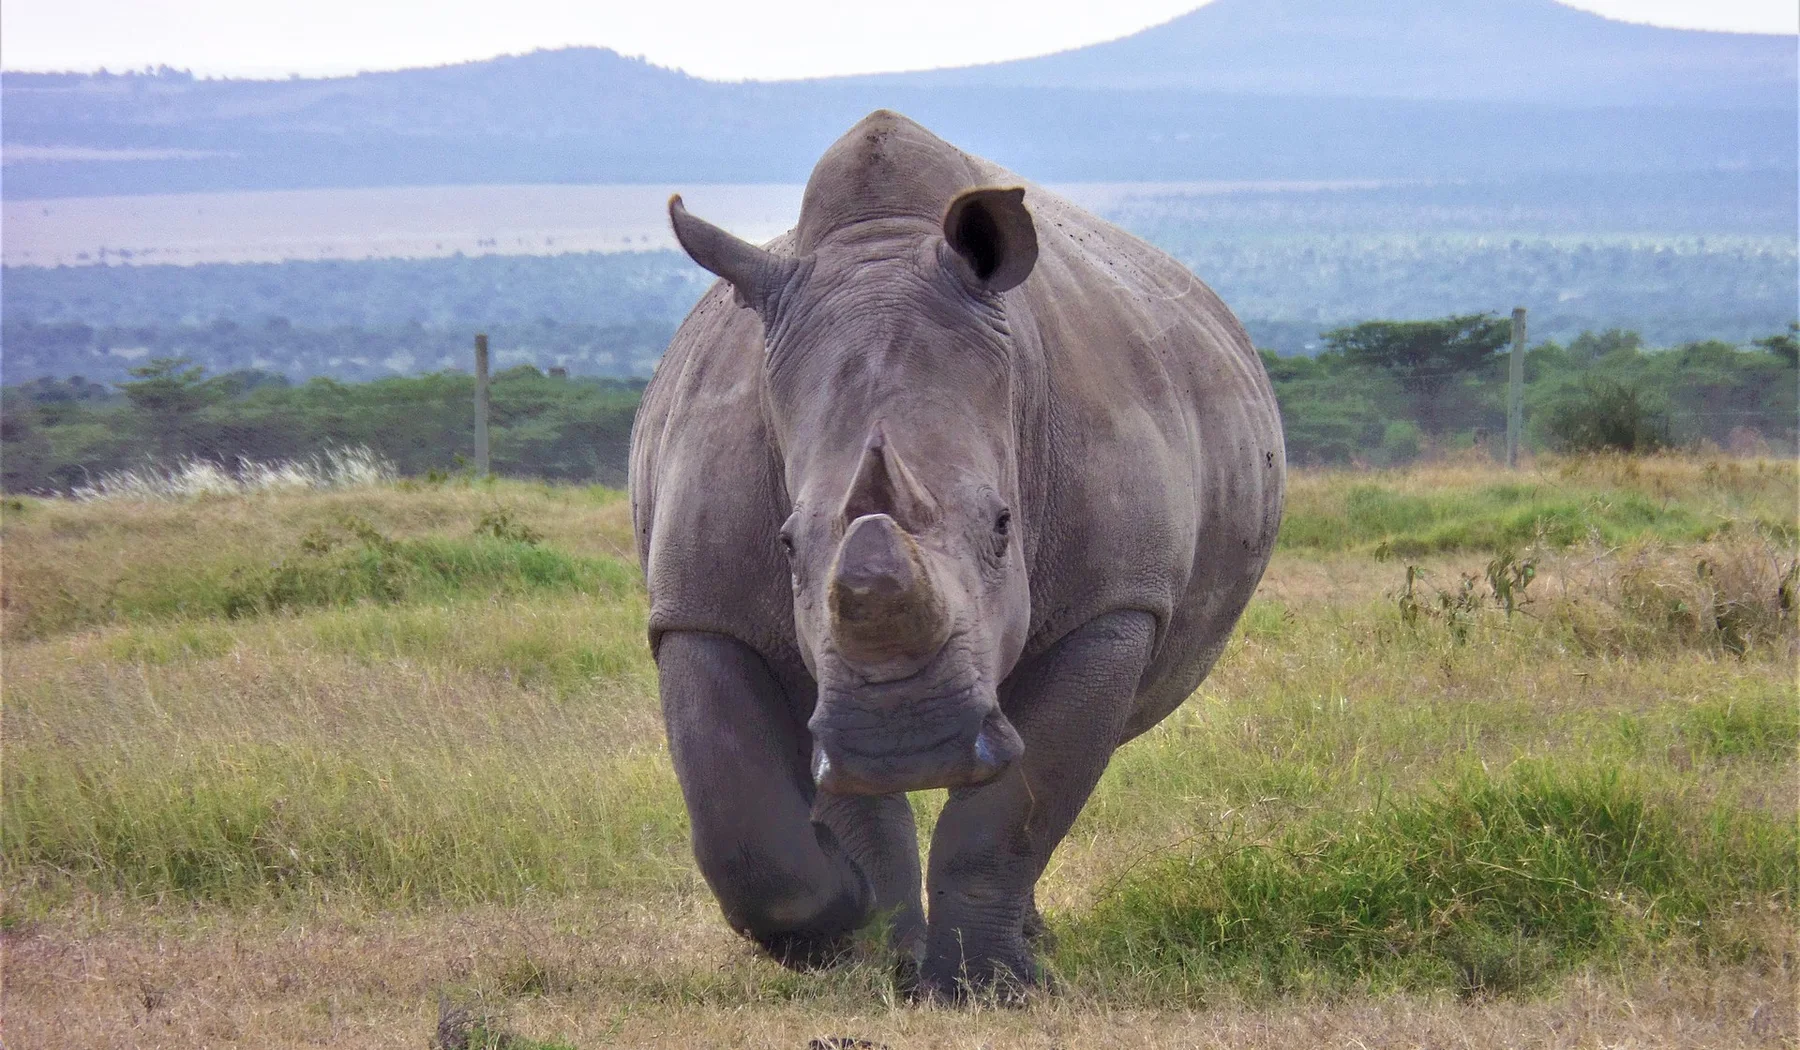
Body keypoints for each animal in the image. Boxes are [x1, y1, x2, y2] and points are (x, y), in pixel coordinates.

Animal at [629, 110, 1284, 998]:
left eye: (1005, 526)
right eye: (787, 544)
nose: (906, 742)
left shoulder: (1114, 603)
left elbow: (1015, 807)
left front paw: (990, 988)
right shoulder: (702, 607)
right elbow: (754, 832)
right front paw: (860, 935)